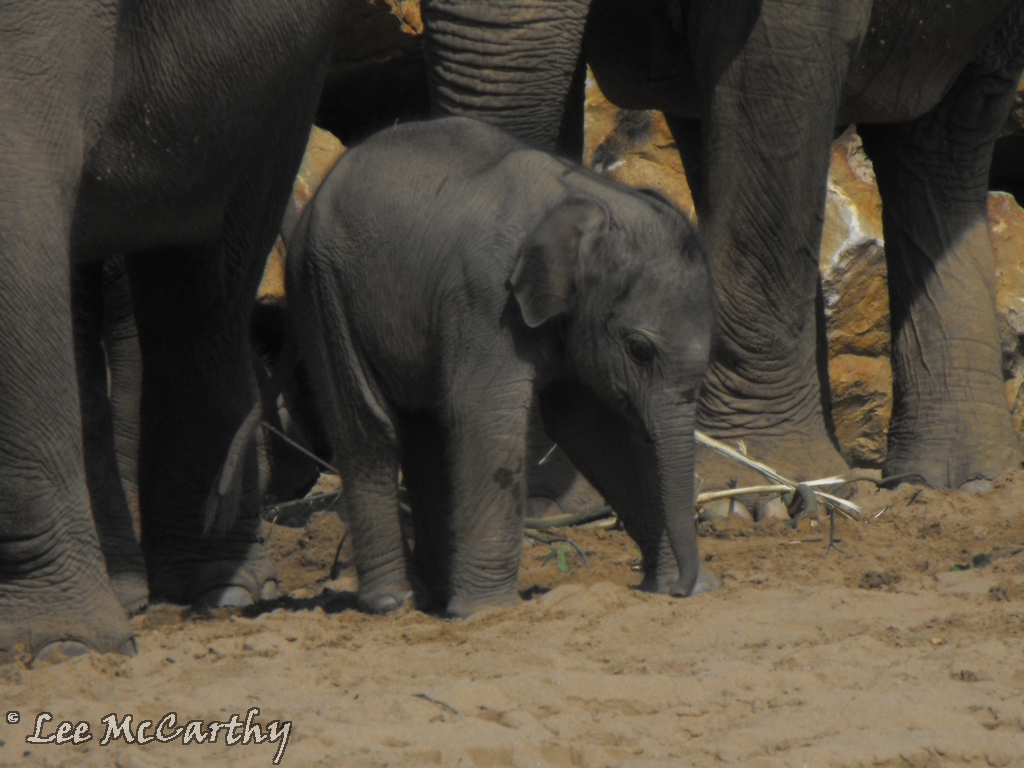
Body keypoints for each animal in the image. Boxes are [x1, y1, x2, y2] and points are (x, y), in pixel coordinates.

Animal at [281, 116, 716, 615]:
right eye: (639, 349)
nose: (684, 589)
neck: (590, 198)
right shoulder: (486, 299)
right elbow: (486, 414)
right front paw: (489, 610)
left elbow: (593, 431)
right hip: (320, 288)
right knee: (367, 430)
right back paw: (394, 601)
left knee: (426, 433)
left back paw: (436, 597)